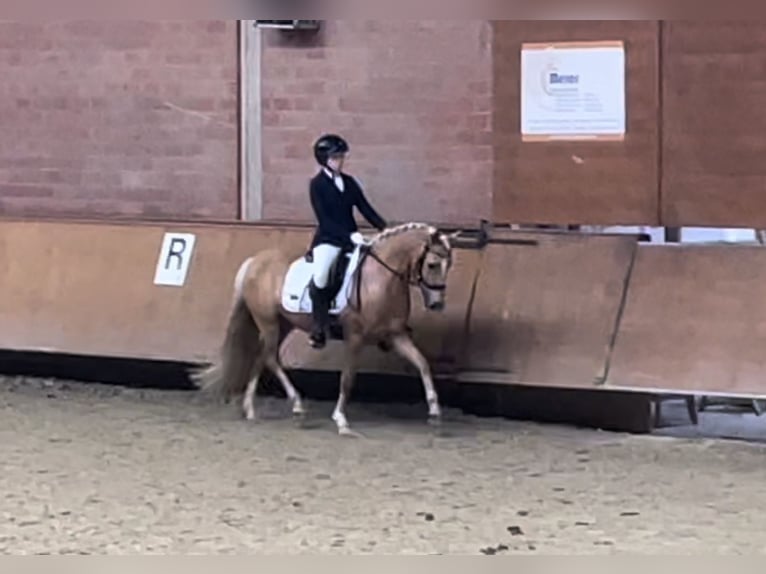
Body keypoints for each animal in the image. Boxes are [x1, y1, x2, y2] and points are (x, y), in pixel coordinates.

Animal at [192, 223, 456, 438]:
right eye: (432, 264)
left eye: (449, 265)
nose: (437, 304)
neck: (380, 279)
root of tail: (255, 261)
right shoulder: (354, 337)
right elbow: (347, 379)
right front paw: (341, 421)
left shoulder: (396, 335)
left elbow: (423, 364)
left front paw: (435, 412)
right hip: (268, 321)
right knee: (269, 358)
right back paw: (297, 406)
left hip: (283, 323)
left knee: (262, 356)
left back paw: (250, 409)